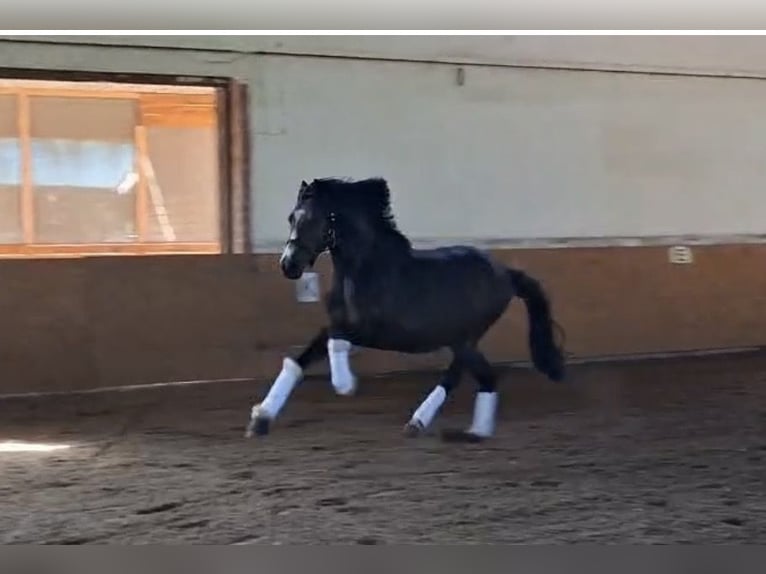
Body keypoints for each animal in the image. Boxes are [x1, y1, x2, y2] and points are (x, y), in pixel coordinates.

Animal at [246, 177, 566, 443]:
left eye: (314, 218)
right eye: (291, 217)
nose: (289, 265)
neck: (365, 270)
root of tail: (506, 274)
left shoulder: (372, 331)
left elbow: (336, 342)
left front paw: (345, 384)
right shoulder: (338, 324)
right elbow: (299, 360)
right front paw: (260, 420)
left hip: (466, 339)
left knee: (464, 376)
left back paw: (438, 425)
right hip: (461, 340)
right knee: (481, 378)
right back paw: (465, 430)